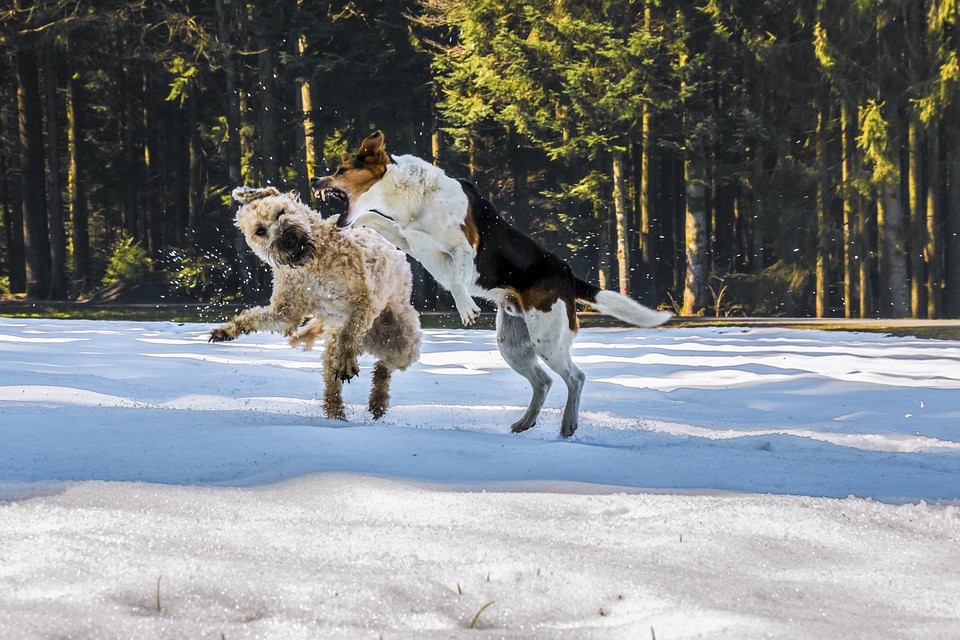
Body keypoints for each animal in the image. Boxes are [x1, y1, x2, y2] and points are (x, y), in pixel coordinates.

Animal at [210, 185, 420, 420]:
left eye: (281, 212)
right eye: (260, 231)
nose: (288, 241)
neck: (313, 264)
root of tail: (371, 340)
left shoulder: (364, 299)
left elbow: (350, 332)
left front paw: (346, 361)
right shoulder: (286, 312)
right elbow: (255, 317)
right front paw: (227, 330)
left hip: (403, 343)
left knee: (383, 368)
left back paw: (377, 402)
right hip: (333, 349)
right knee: (334, 382)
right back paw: (337, 413)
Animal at [312, 131, 672, 440]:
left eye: (342, 169)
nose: (315, 180)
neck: (415, 198)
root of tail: (568, 275)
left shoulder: (465, 248)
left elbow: (458, 278)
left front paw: (465, 307)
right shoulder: (406, 237)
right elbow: (370, 219)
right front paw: (332, 225)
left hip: (547, 339)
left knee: (576, 378)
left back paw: (568, 424)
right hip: (512, 345)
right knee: (543, 381)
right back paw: (526, 422)